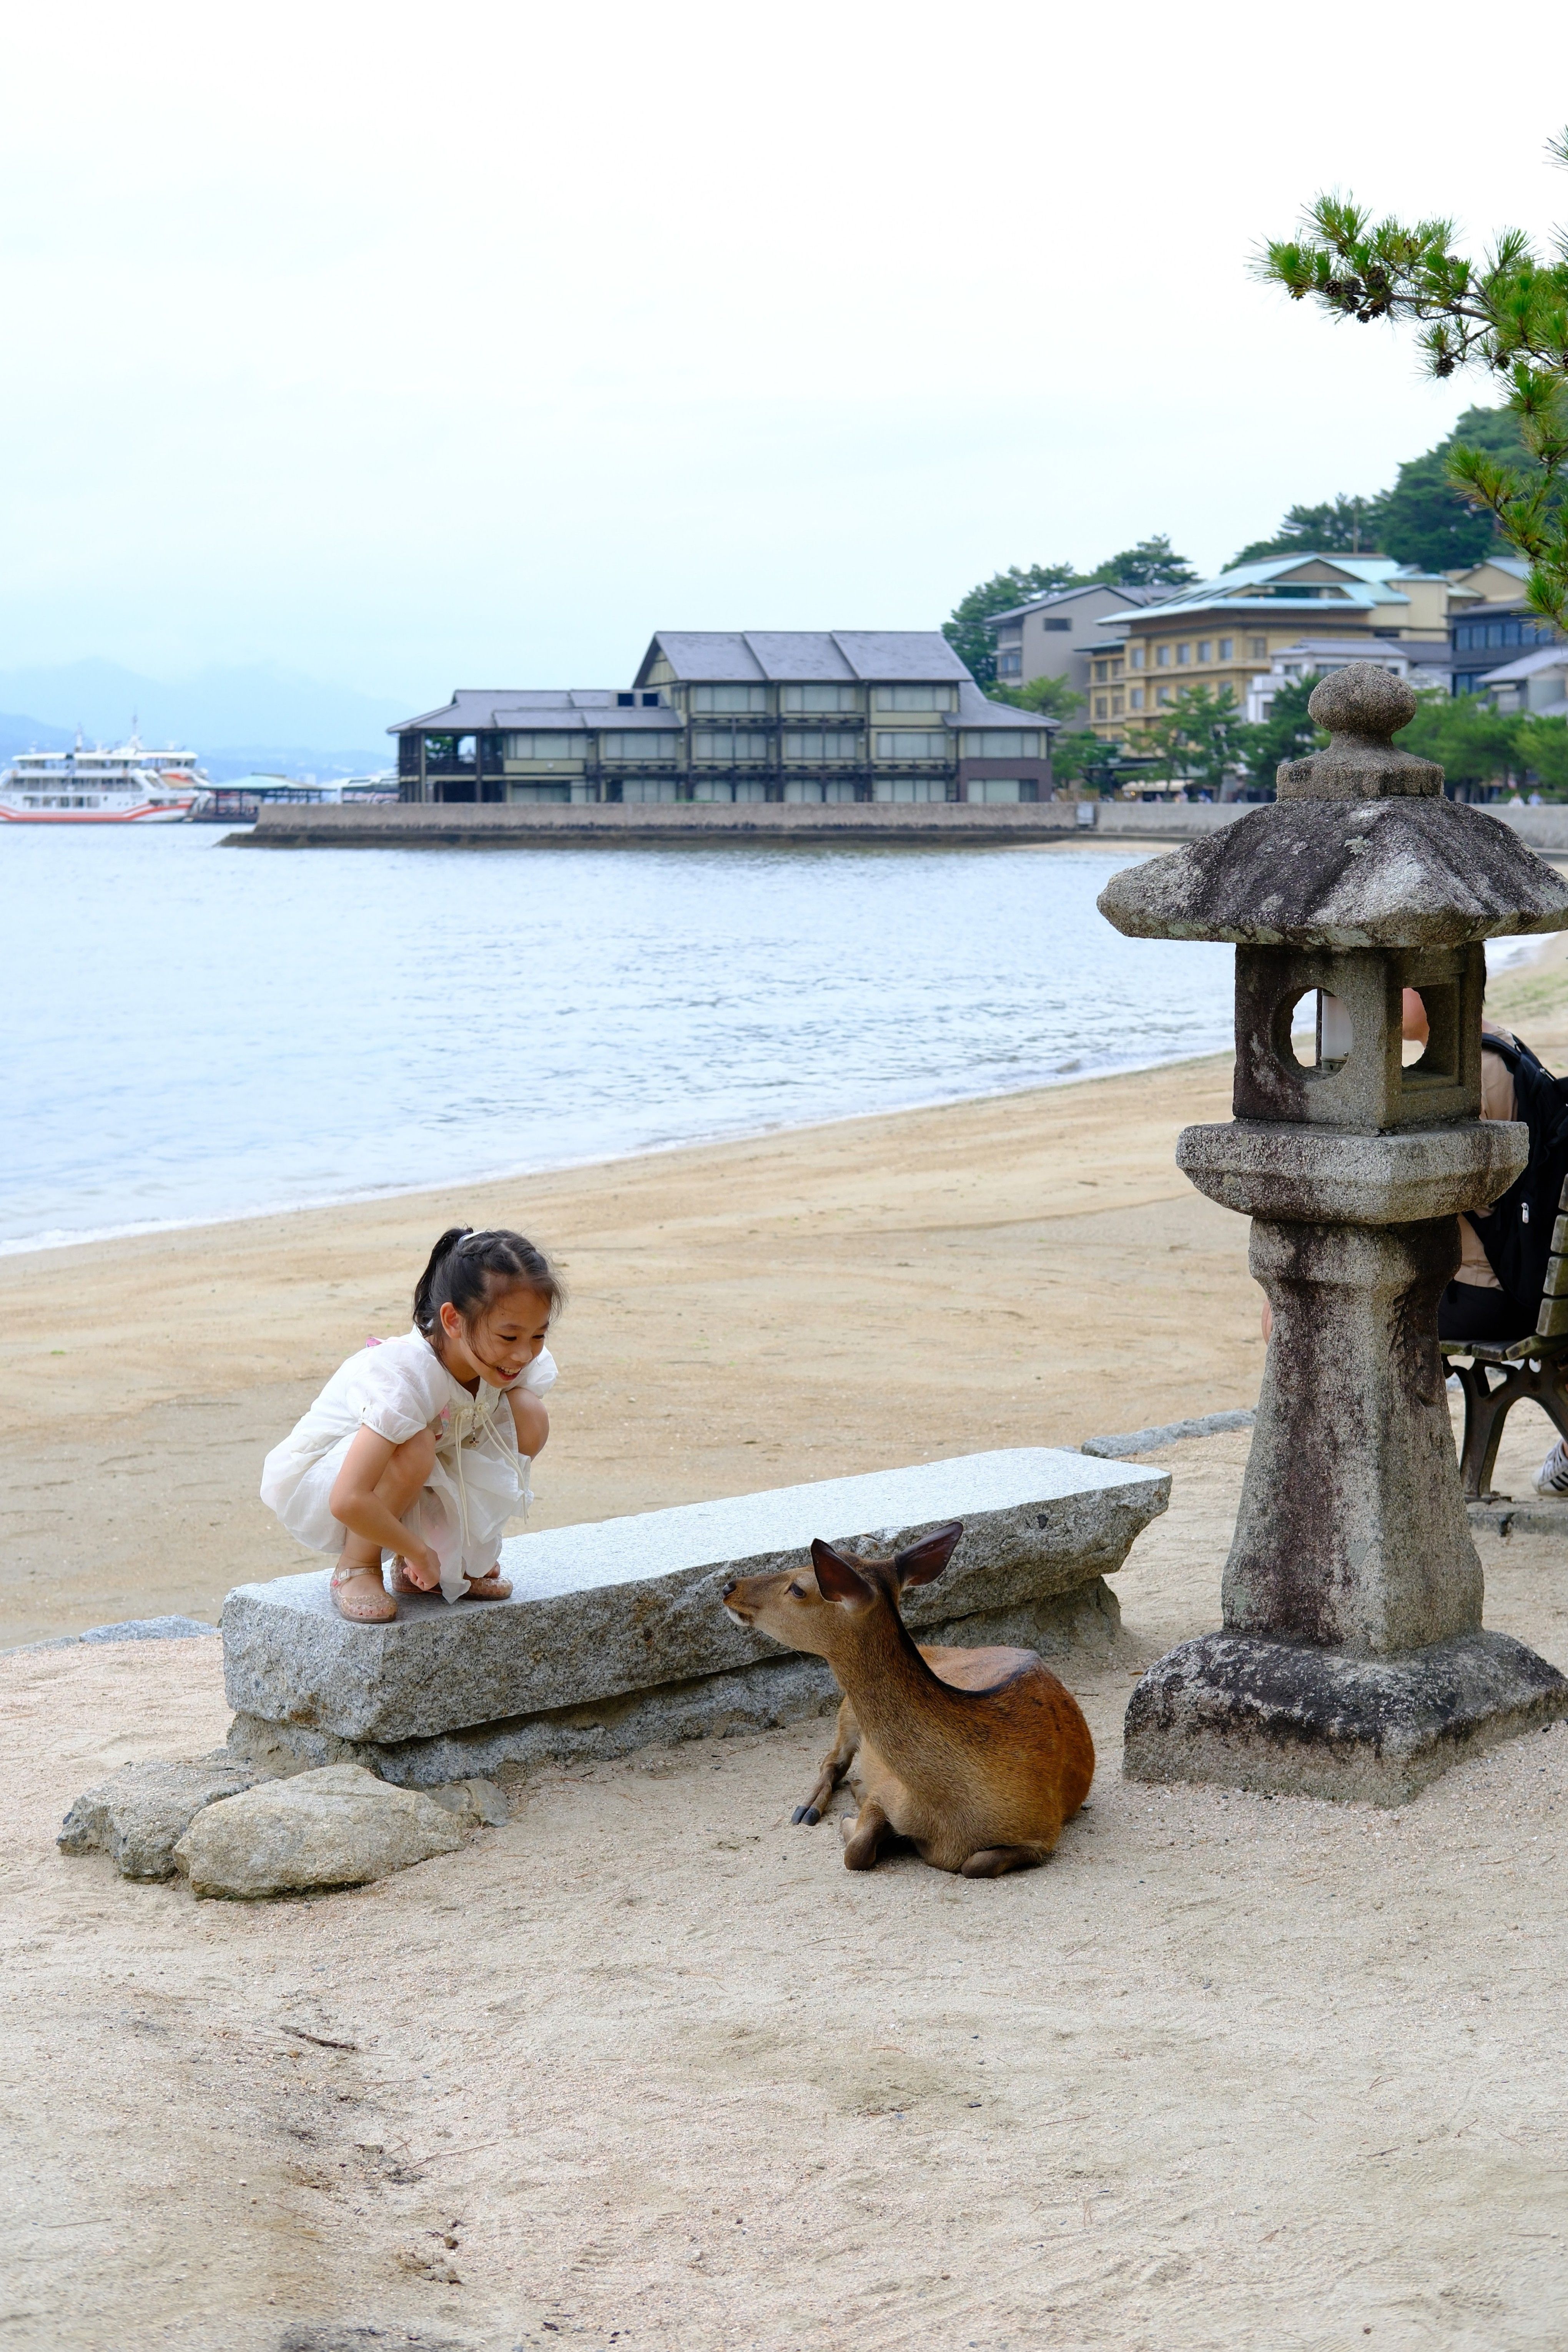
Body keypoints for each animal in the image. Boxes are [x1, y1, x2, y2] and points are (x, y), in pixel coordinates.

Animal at [720, 1519, 1094, 1876]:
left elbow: (976, 1864)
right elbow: (857, 1850)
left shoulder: (1044, 1829)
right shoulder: (889, 1790)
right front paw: (854, 1813)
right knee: (832, 1758)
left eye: (798, 1587)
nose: (728, 1586)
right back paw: (807, 1808)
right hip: (846, 1712)